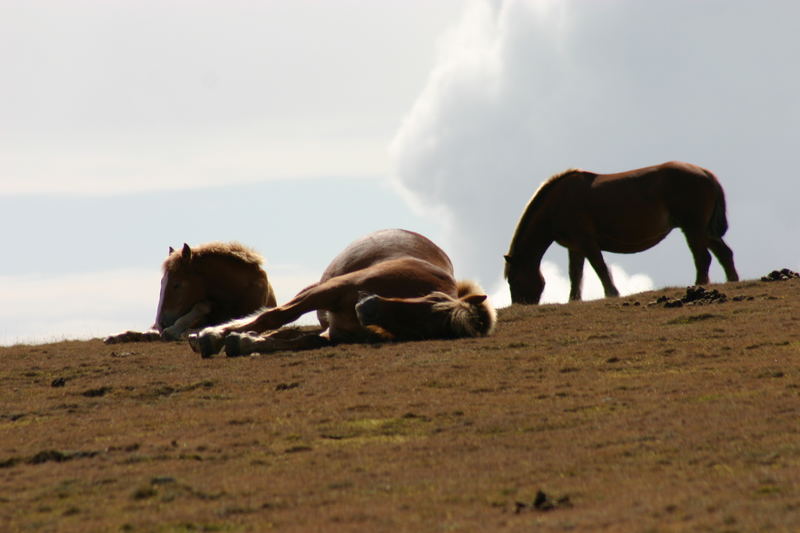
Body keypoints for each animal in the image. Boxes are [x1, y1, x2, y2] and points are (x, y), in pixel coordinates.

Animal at [191, 229, 496, 358]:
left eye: (422, 329)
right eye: (432, 299)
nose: (369, 308)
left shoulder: (336, 334)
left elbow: (304, 341)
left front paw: (244, 342)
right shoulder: (332, 290)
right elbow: (275, 316)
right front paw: (215, 335)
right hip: (318, 288)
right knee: (274, 315)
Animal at [504, 160, 740, 304]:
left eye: (513, 280)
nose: (520, 305)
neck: (557, 203)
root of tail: (706, 174)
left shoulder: (587, 242)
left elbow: (599, 268)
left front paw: (612, 293)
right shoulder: (576, 246)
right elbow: (575, 274)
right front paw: (574, 300)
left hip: (693, 228)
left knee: (703, 258)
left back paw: (698, 286)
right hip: (703, 231)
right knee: (724, 254)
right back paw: (732, 281)